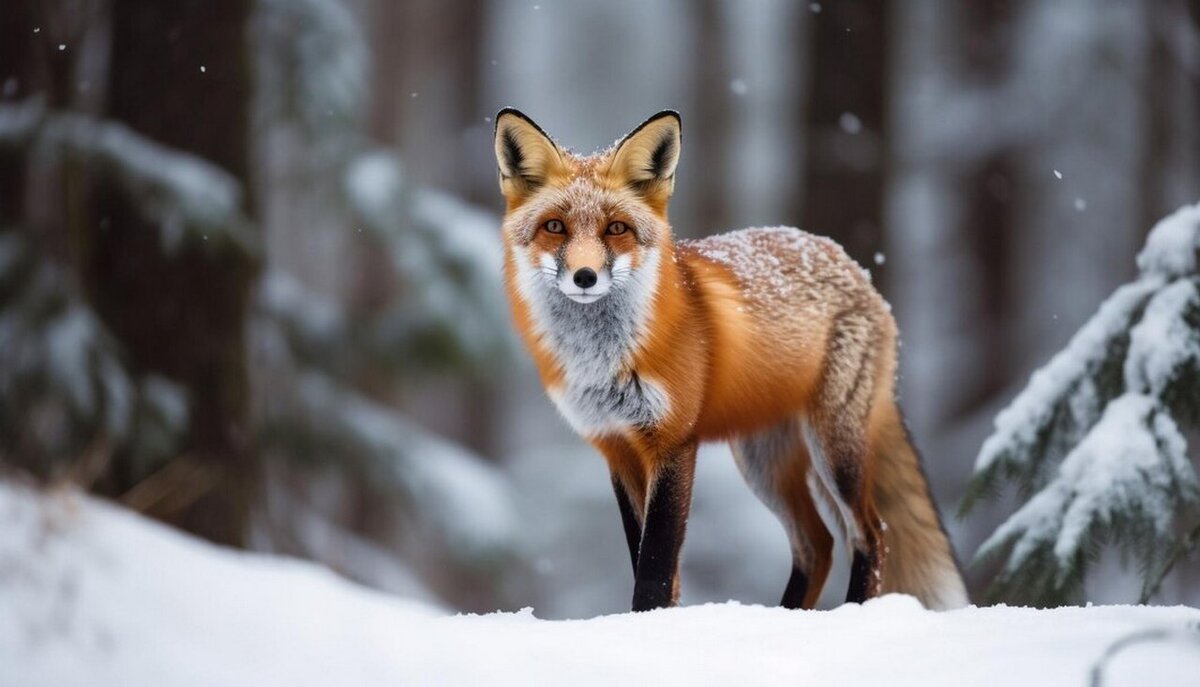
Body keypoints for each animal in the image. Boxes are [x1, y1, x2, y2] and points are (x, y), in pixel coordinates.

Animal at [492, 107, 969, 612]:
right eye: (555, 227)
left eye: (616, 229)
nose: (585, 276)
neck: (603, 361)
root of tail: (852, 265)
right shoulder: (617, 447)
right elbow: (652, 565)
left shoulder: (673, 442)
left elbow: (655, 569)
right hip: (764, 463)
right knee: (817, 544)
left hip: (833, 449)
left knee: (871, 534)